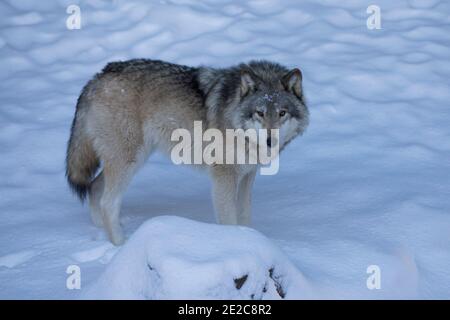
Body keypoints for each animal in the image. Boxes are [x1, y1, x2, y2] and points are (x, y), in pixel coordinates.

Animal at [66, 58, 310, 244]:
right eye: (260, 113)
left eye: (282, 113)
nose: (270, 141)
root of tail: (96, 78)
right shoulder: (224, 177)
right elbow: (229, 220)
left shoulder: (247, 175)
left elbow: (245, 215)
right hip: (129, 161)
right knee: (108, 202)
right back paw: (121, 245)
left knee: (94, 188)